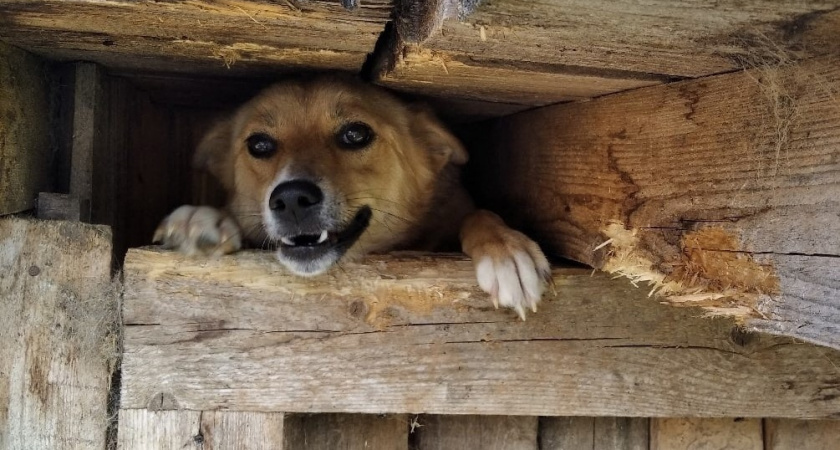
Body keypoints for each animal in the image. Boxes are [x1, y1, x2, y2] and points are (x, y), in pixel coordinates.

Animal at [155, 74, 552, 320]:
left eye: (355, 134)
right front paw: (201, 219)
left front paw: (506, 249)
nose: (291, 199)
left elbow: (479, 214)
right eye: (259, 145)